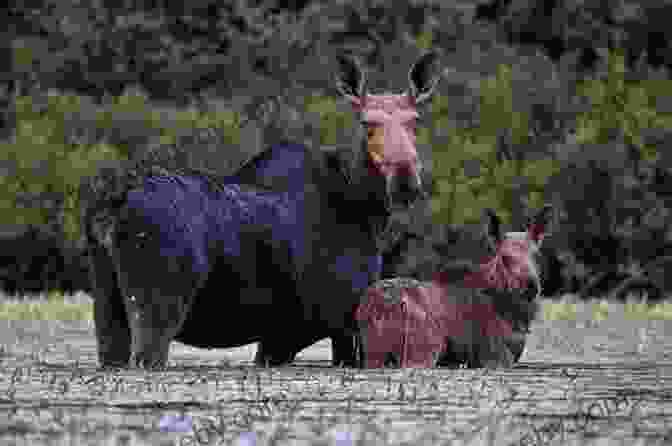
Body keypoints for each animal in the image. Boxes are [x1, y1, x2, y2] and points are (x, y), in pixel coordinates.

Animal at [82, 51, 440, 370]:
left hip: (107, 306)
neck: (368, 212)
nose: (405, 178)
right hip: (157, 307)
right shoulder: (340, 321)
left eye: (415, 122)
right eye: (367, 124)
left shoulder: (281, 334)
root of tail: (113, 205)